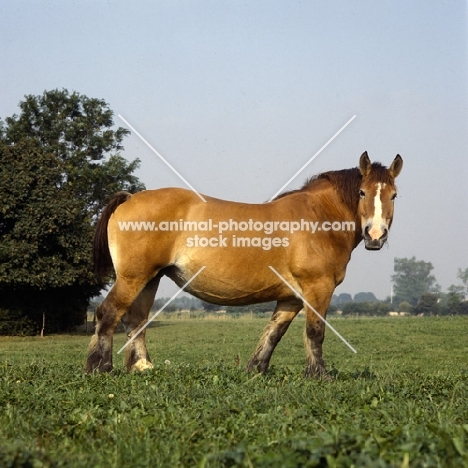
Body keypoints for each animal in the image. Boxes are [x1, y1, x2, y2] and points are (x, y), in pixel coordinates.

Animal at [87, 152, 402, 378]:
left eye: (394, 195)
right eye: (362, 193)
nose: (375, 235)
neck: (319, 218)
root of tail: (130, 197)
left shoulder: (291, 297)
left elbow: (273, 333)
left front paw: (256, 370)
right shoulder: (318, 288)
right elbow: (315, 332)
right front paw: (319, 375)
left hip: (150, 278)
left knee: (136, 319)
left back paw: (141, 367)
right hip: (133, 277)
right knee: (108, 313)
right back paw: (100, 368)